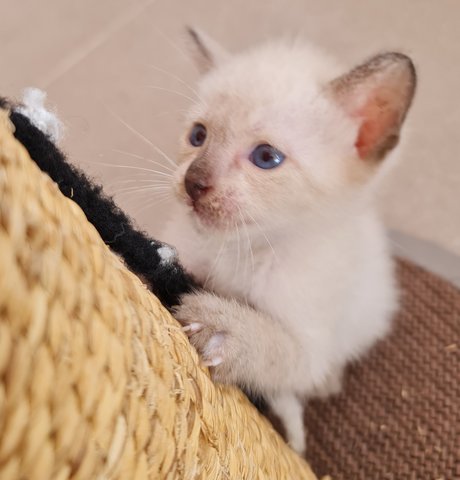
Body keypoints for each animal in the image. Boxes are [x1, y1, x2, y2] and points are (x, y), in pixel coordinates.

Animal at [163, 28, 416, 456]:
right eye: (198, 135)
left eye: (266, 157)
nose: (194, 182)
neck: (244, 249)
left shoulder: (309, 346)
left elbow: (278, 349)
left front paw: (224, 328)